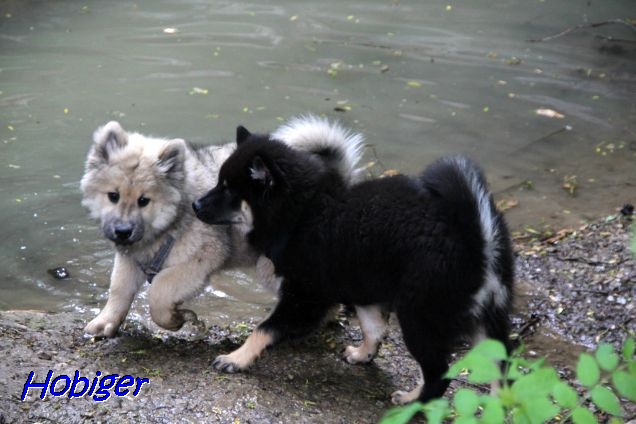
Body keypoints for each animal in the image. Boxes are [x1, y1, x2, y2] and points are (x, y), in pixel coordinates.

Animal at [191, 126, 516, 404]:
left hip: (419, 317)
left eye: (229, 190)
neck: (301, 212)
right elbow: (374, 329)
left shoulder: (306, 297)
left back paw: (412, 401)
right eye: (220, 183)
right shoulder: (360, 284)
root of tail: (477, 238)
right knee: (502, 365)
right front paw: (363, 355)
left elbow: (264, 328)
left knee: (438, 374)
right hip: (488, 315)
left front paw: (236, 358)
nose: (195, 205)